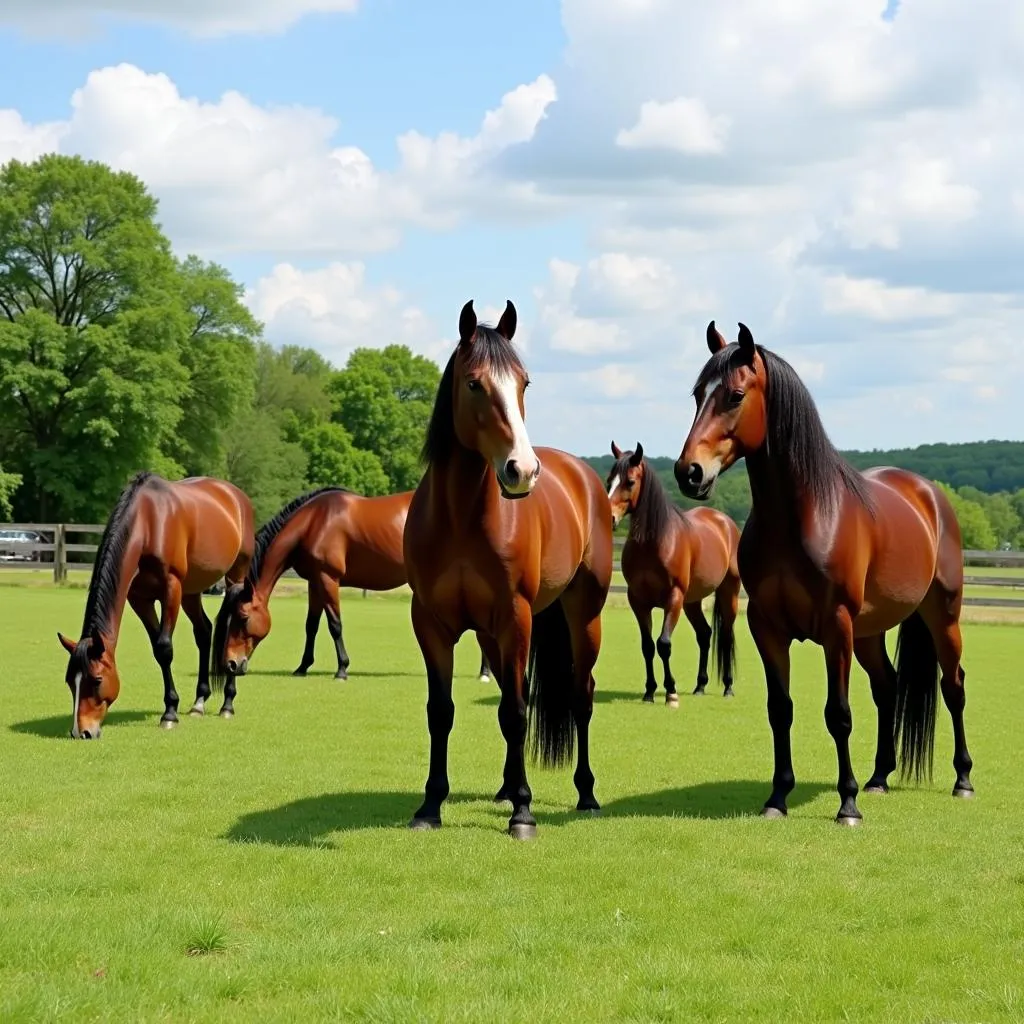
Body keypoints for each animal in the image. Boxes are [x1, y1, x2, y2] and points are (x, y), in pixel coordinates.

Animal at [56, 471, 256, 737]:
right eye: (70, 681)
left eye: (96, 680)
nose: (82, 732)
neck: (149, 523)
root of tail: (237, 495)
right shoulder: (139, 599)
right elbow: (157, 650)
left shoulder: (171, 589)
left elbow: (164, 647)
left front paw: (169, 713)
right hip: (191, 589)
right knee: (203, 632)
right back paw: (199, 703)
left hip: (235, 574)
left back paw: (227, 704)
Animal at [211, 491, 491, 684]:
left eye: (243, 617)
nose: (231, 664)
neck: (314, 523)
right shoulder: (315, 582)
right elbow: (311, 626)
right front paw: (302, 667)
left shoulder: (328, 579)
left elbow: (335, 625)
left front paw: (342, 669)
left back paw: (486, 672)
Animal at [401, 299, 610, 839]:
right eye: (475, 383)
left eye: (524, 383)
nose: (523, 470)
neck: (461, 518)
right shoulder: (431, 623)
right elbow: (441, 712)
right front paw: (430, 805)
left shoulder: (517, 618)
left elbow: (517, 712)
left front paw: (523, 813)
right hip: (491, 636)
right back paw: (504, 786)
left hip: (584, 617)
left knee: (581, 697)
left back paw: (584, 793)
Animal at [602, 440, 741, 704]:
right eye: (609, 480)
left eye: (630, 482)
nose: (610, 518)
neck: (654, 542)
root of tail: (726, 523)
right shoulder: (638, 601)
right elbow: (647, 646)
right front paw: (649, 691)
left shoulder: (673, 598)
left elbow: (664, 643)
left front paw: (671, 691)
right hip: (692, 602)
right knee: (705, 635)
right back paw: (700, 686)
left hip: (729, 593)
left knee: (726, 636)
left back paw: (729, 687)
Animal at [675, 319, 970, 823]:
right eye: (697, 394)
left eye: (734, 395)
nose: (688, 472)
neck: (801, 516)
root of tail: (930, 495)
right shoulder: (767, 626)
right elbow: (780, 709)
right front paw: (777, 797)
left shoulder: (835, 627)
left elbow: (839, 714)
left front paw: (847, 803)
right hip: (869, 631)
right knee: (887, 686)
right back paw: (879, 778)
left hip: (941, 616)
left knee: (953, 687)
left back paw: (962, 780)